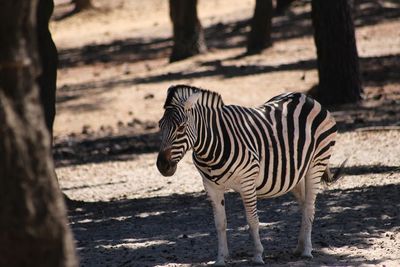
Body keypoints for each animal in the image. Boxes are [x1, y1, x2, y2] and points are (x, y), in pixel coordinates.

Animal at [156, 85, 340, 266]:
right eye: (159, 125)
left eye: (181, 127)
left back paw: (307, 251)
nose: (162, 165)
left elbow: (252, 221)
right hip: (295, 173)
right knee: (303, 204)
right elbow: (220, 223)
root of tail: (306, 97)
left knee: (309, 206)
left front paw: (258, 255)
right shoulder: (211, 186)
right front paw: (220, 259)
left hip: (316, 164)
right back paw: (299, 247)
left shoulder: (247, 182)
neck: (212, 147)